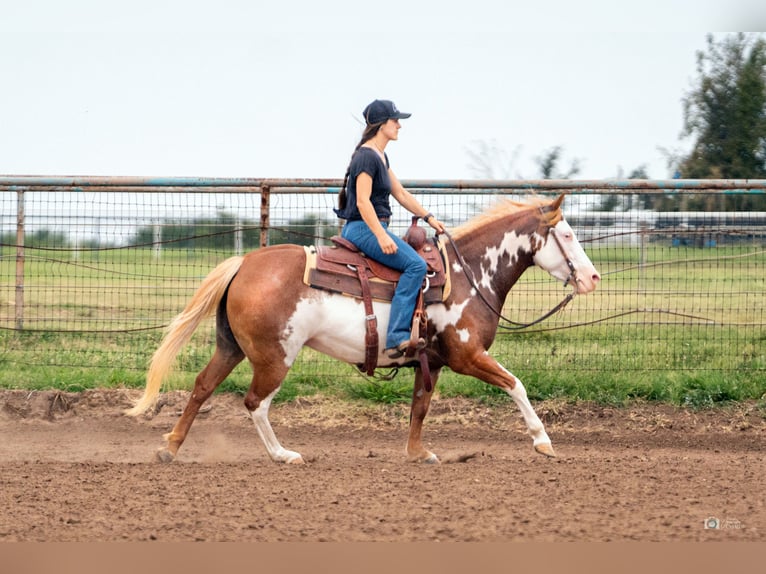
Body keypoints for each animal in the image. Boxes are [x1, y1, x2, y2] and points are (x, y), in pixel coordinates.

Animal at [129, 196, 604, 466]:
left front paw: (418, 453)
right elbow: (516, 384)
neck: (467, 275)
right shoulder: (467, 357)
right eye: (566, 234)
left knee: (202, 386)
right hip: (274, 356)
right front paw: (543, 442)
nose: (593, 278)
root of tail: (245, 262)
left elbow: (419, 408)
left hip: (231, 347)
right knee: (255, 403)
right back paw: (284, 455)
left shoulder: (430, 362)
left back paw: (169, 448)